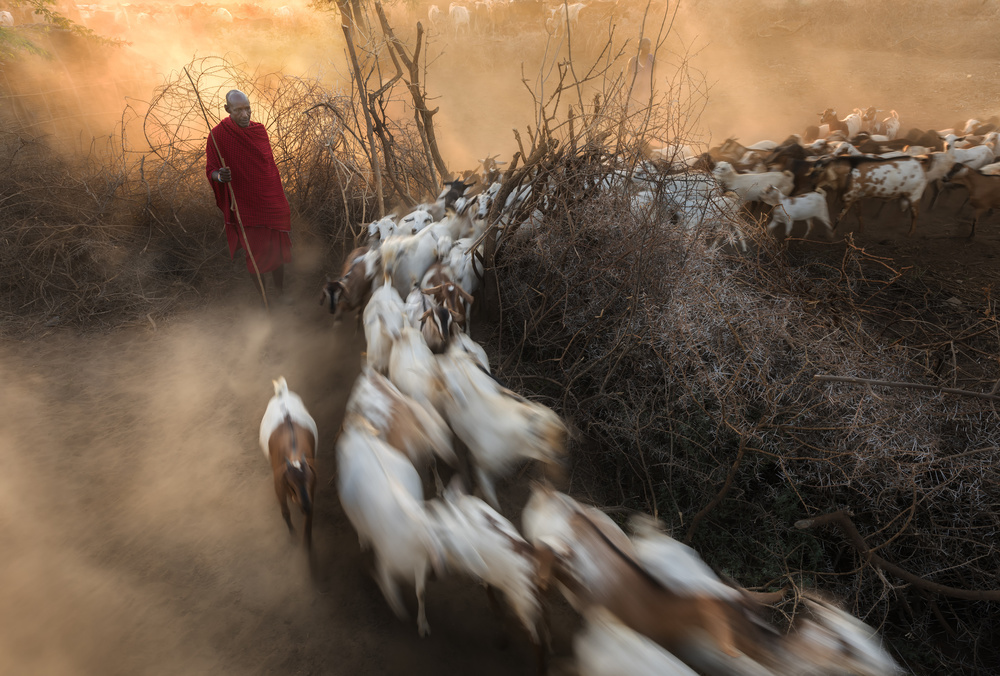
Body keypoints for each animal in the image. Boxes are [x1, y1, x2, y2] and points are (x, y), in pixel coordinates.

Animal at [260, 378, 318, 552]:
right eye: (291, 484)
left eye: (309, 480)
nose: (305, 506)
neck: (294, 456)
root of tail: (282, 393)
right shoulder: (278, 484)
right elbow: (285, 512)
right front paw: (293, 537)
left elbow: (309, 521)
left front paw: (307, 545)